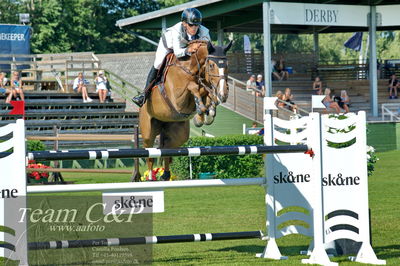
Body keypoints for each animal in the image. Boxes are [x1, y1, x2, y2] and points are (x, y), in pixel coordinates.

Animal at [140, 40, 231, 181]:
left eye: (227, 65)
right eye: (211, 65)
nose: (224, 94)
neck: (191, 68)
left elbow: (206, 91)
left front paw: (206, 113)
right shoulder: (178, 99)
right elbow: (193, 87)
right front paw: (202, 111)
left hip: (178, 134)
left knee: (166, 148)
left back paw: (165, 175)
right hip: (148, 132)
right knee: (150, 156)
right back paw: (150, 178)